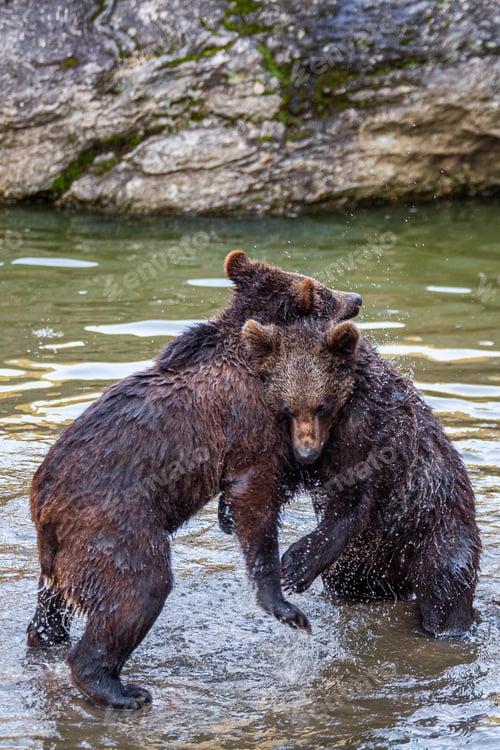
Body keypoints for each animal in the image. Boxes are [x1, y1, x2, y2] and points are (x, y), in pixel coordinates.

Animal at [27, 250, 362, 709]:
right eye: (324, 291)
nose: (357, 297)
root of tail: (41, 502)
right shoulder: (249, 421)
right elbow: (255, 496)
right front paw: (285, 606)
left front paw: (225, 517)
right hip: (112, 524)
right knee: (139, 588)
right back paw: (119, 688)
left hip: (63, 552)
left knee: (52, 601)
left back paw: (47, 638)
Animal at [241, 317, 481, 638]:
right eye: (286, 407)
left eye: (322, 405)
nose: (306, 453)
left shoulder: (371, 439)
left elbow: (352, 504)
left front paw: (296, 565)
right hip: (362, 563)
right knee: (350, 582)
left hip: (437, 526)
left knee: (445, 587)